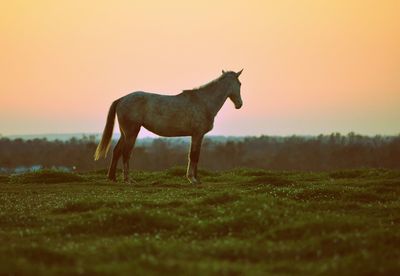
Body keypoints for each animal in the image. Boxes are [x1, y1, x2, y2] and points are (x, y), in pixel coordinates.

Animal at [94, 70, 244, 184]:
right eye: (240, 83)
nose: (239, 104)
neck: (203, 102)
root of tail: (122, 99)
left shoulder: (198, 136)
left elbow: (196, 156)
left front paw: (196, 178)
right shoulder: (197, 134)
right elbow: (193, 155)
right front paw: (192, 179)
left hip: (124, 133)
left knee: (117, 151)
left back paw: (112, 178)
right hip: (132, 132)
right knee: (126, 153)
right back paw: (128, 179)